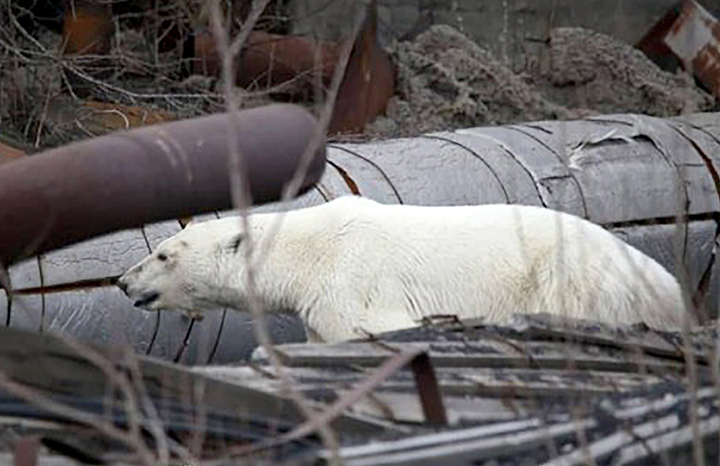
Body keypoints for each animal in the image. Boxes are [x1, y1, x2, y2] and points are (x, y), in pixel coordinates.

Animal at [116, 196, 692, 342]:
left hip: (578, 286)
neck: (307, 248)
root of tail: (668, 284)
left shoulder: (353, 283)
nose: (123, 282)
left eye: (163, 253)